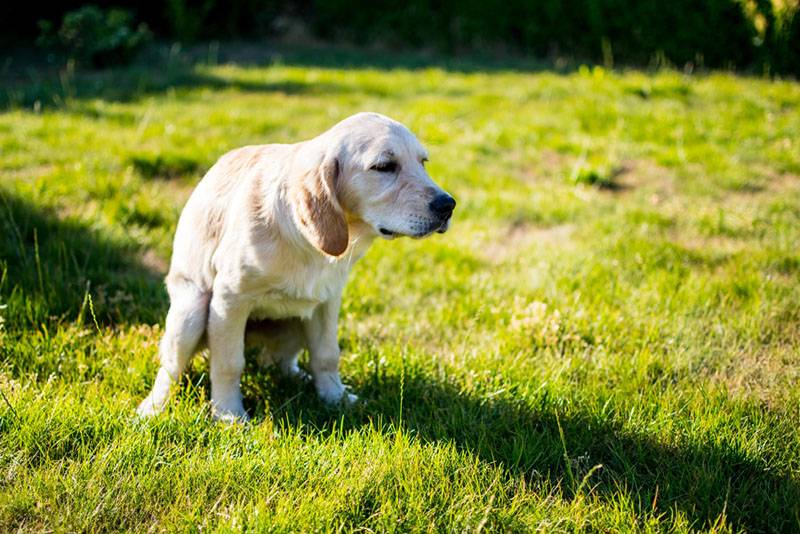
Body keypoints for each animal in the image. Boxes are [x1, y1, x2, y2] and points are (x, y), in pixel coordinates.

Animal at [138, 113, 456, 422]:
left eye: (423, 162)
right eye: (384, 167)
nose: (448, 205)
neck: (310, 246)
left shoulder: (327, 301)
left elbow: (327, 355)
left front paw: (335, 398)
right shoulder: (229, 300)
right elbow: (229, 362)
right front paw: (229, 413)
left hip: (296, 321)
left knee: (280, 362)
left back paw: (300, 379)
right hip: (190, 313)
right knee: (170, 369)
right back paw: (152, 409)